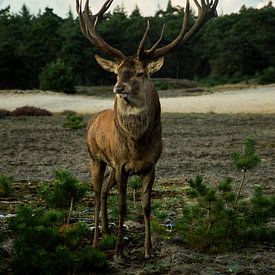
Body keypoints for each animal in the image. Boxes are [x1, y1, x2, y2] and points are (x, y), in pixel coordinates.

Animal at [76, 0, 219, 258]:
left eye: (141, 73)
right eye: (117, 72)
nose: (119, 87)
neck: (137, 145)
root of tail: (94, 119)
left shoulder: (151, 166)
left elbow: (146, 206)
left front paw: (148, 249)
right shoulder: (121, 165)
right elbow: (123, 206)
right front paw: (119, 251)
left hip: (110, 166)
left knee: (104, 191)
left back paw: (106, 231)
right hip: (95, 157)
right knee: (95, 194)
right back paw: (96, 241)